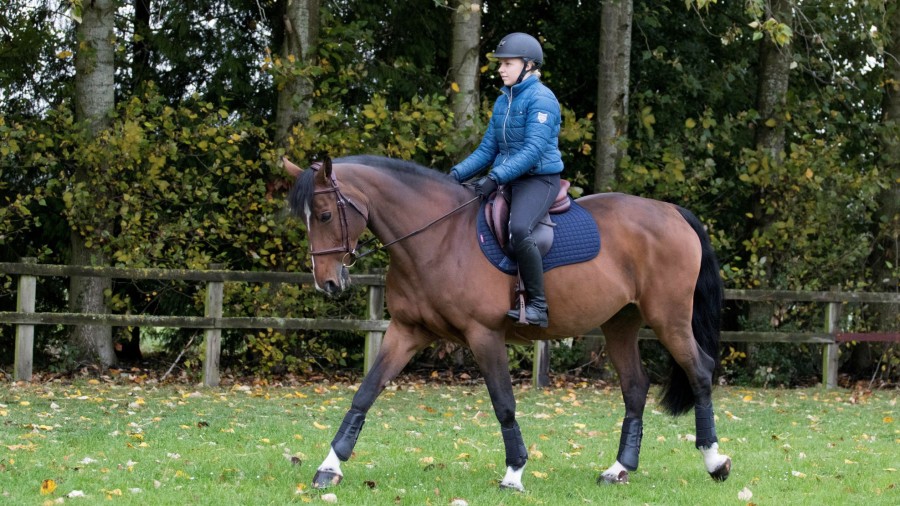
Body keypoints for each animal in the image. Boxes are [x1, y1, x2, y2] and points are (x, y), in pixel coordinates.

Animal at [284, 154, 732, 490]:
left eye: (324, 215)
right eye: (305, 218)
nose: (327, 283)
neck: (438, 238)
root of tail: (672, 211)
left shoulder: (484, 335)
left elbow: (503, 403)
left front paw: (514, 473)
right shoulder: (406, 331)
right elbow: (366, 392)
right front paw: (329, 467)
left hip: (669, 318)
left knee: (700, 373)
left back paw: (715, 461)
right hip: (620, 323)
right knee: (636, 387)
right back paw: (618, 469)